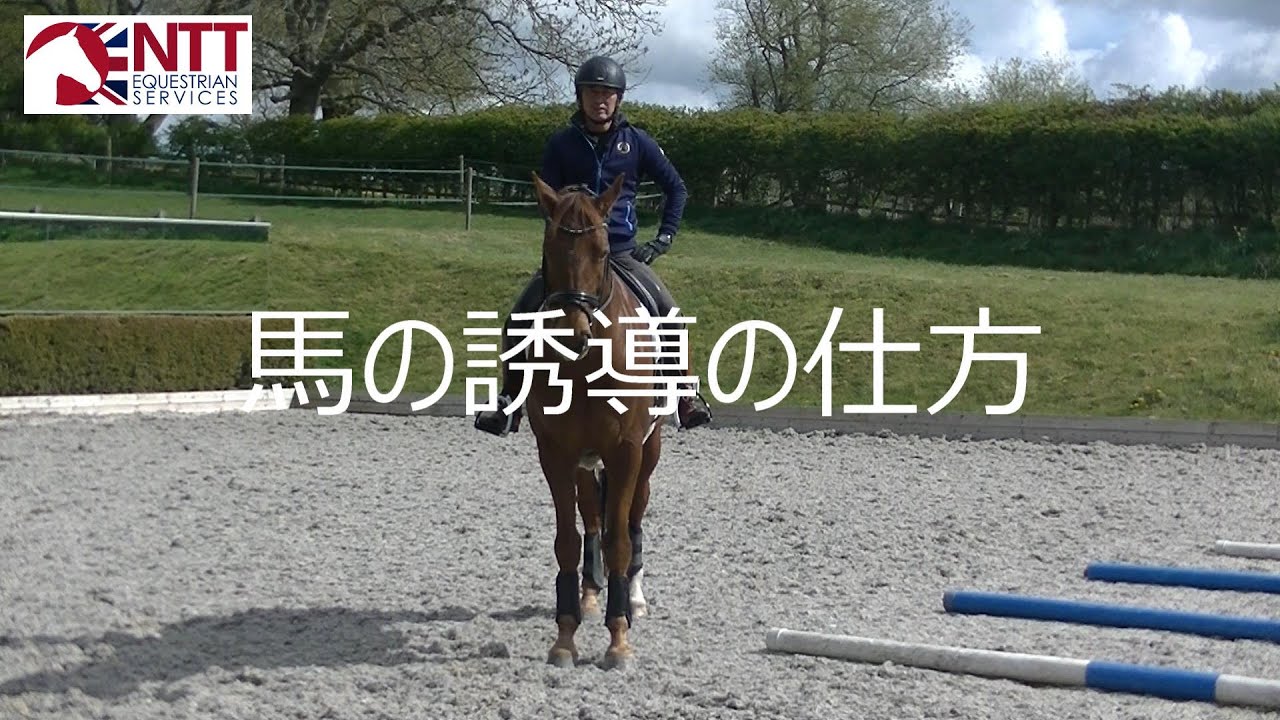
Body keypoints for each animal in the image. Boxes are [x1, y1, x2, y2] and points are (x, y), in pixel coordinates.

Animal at [522, 171, 669, 670]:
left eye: (603, 251)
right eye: (549, 249)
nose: (573, 333)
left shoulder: (625, 452)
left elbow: (620, 540)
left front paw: (619, 638)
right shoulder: (555, 453)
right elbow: (568, 540)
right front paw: (565, 636)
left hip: (648, 453)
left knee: (633, 519)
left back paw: (635, 600)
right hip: (585, 464)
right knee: (592, 521)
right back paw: (589, 595)